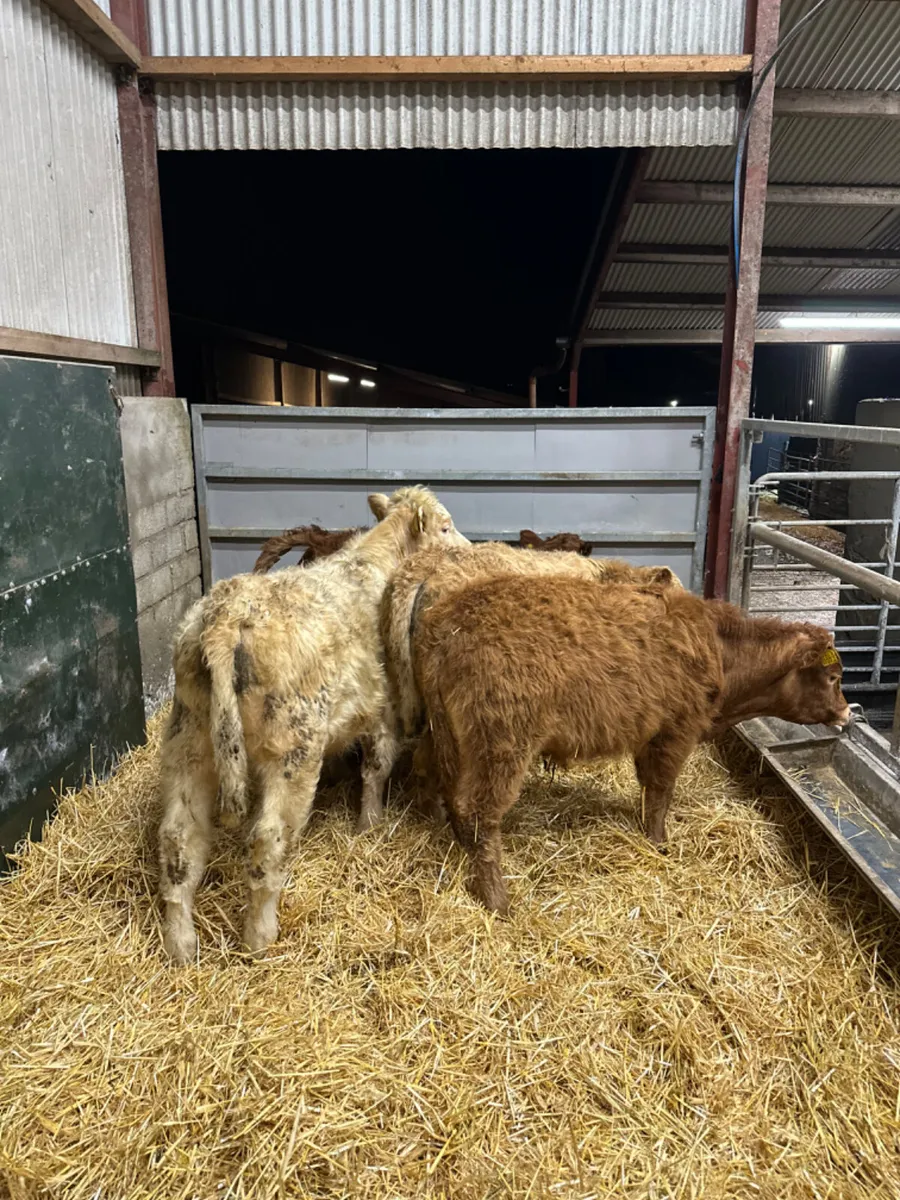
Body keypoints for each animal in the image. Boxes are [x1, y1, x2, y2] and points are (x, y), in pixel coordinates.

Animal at [158, 486, 467, 963]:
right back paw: (260, 935)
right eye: (447, 527)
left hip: (188, 741)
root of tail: (228, 617)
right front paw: (369, 825)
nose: (470, 549)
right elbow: (376, 768)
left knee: (179, 841)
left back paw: (181, 943)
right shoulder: (385, 707)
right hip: (294, 749)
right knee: (268, 841)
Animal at [411, 575, 851, 915]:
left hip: (442, 734)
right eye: (833, 677)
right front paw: (659, 844)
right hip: (501, 745)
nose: (849, 714)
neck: (722, 652)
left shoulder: (651, 735)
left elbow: (648, 789)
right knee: (481, 813)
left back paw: (440, 827)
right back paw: (498, 900)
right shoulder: (676, 730)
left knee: (432, 776)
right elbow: (660, 792)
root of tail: (445, 619)